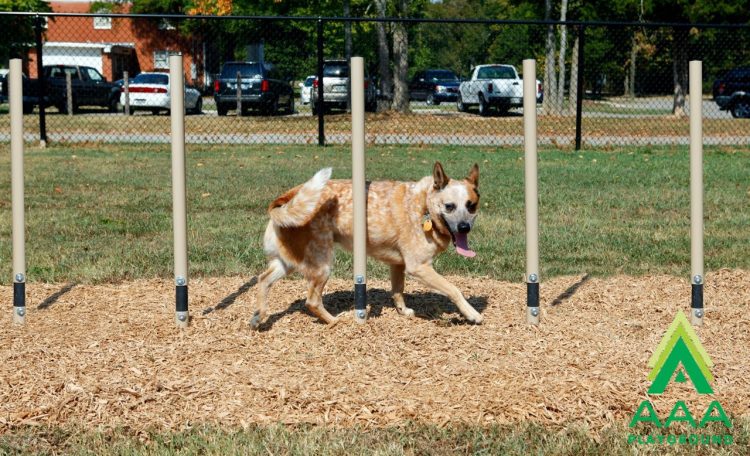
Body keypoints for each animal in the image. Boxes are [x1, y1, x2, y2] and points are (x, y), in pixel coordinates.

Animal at [253, 161, 484, 328]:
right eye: (449, 206)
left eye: (471, 206)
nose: (464, 228)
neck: (423, 206)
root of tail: (288, 196)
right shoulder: (419, 267)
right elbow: (453, 289)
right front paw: (472, 314)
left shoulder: (398, 265)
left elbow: (398, 290)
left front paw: (403, 312)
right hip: (322, 265)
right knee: (311, 301)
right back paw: (335, 322)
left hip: (289, 262)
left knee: (263, 279)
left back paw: (258, 317)